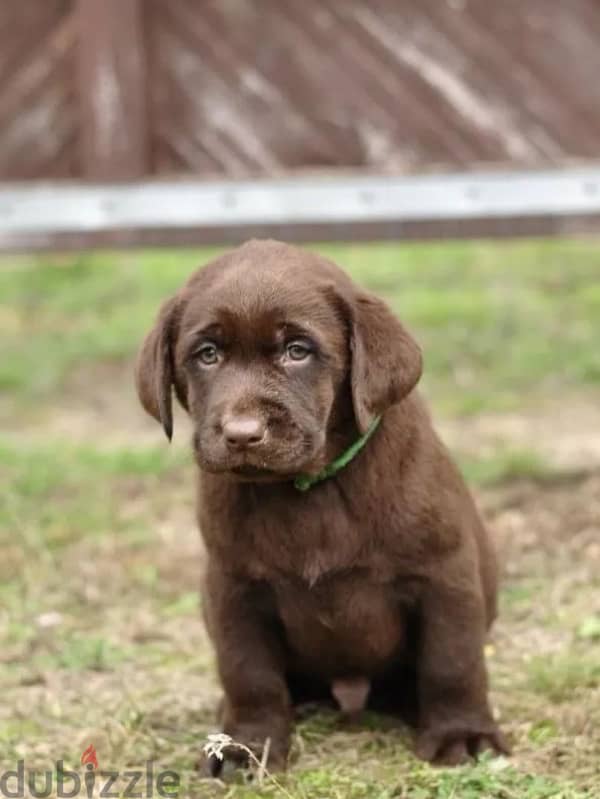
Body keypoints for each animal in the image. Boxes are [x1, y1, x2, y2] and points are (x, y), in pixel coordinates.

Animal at [136, 239, 506, 776]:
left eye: (298, 351)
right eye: (207, 355)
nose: (242, 434)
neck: (307, 489)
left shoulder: (444, 574)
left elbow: (452, 660)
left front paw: (463, 734)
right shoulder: (234, 588)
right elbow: (249, 672)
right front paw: (248, 745)